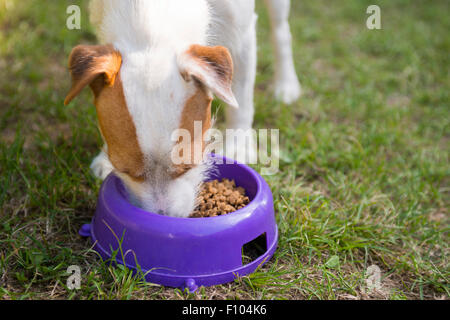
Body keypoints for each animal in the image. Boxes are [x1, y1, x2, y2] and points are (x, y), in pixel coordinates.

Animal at [65, 0, 300, 218]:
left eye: (188, 167)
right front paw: (104, 157)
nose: (164, 217)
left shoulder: (240, 32)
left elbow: (240, 99)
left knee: (281, 31)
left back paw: (286, 84)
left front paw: (238, 145)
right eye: (125, 170)